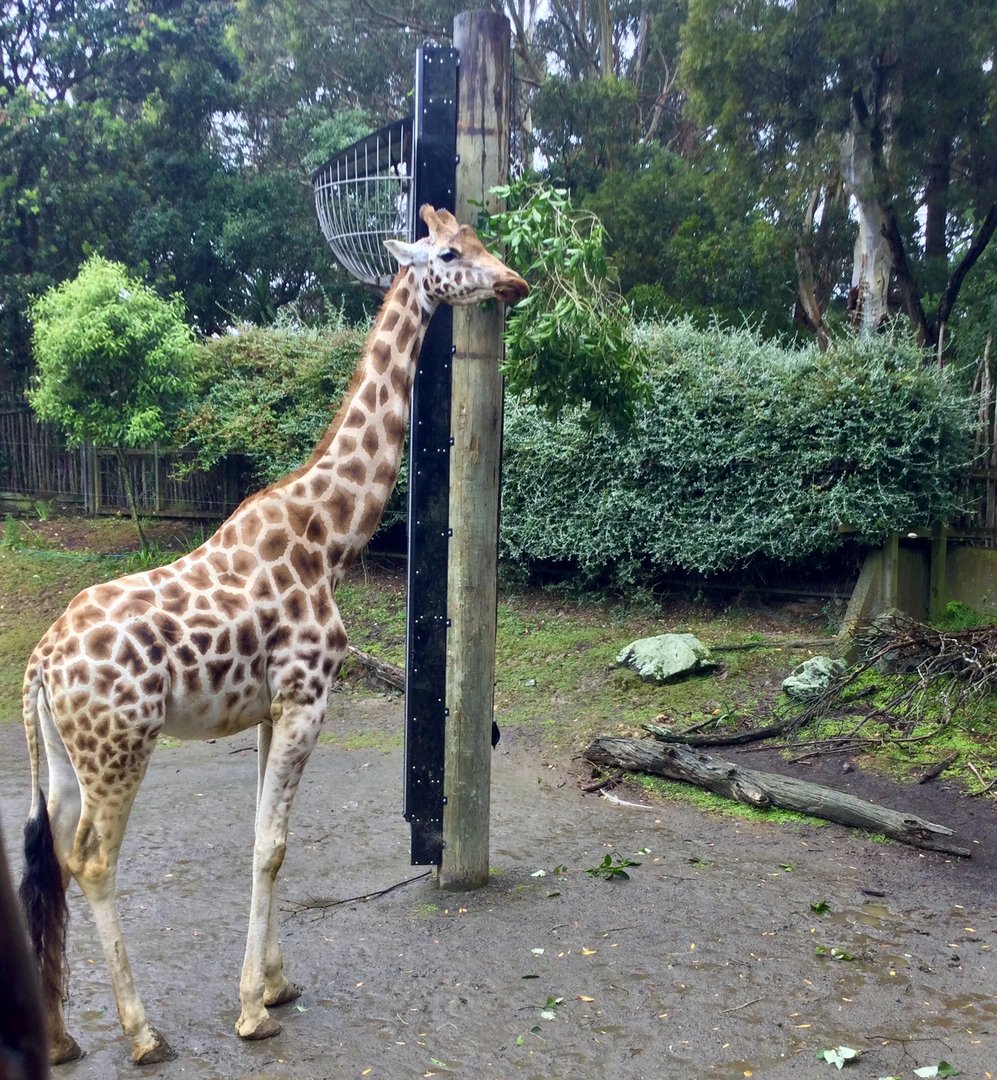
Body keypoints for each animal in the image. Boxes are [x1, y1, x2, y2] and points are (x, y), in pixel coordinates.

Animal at [17, 204, 529, 1067]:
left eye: (483, 241)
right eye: (455, 253)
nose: (514, 282)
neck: (328, 536)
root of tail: (40, 665)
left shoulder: (264, 710)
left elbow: (265, 839)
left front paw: (276, 985)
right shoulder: (304, 698)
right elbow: (273, 845)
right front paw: (253, 1011)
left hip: (60, 759)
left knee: (50, 857)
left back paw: (58, 1039)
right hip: (121, 746)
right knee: (92, 859)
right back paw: (142, 1033)